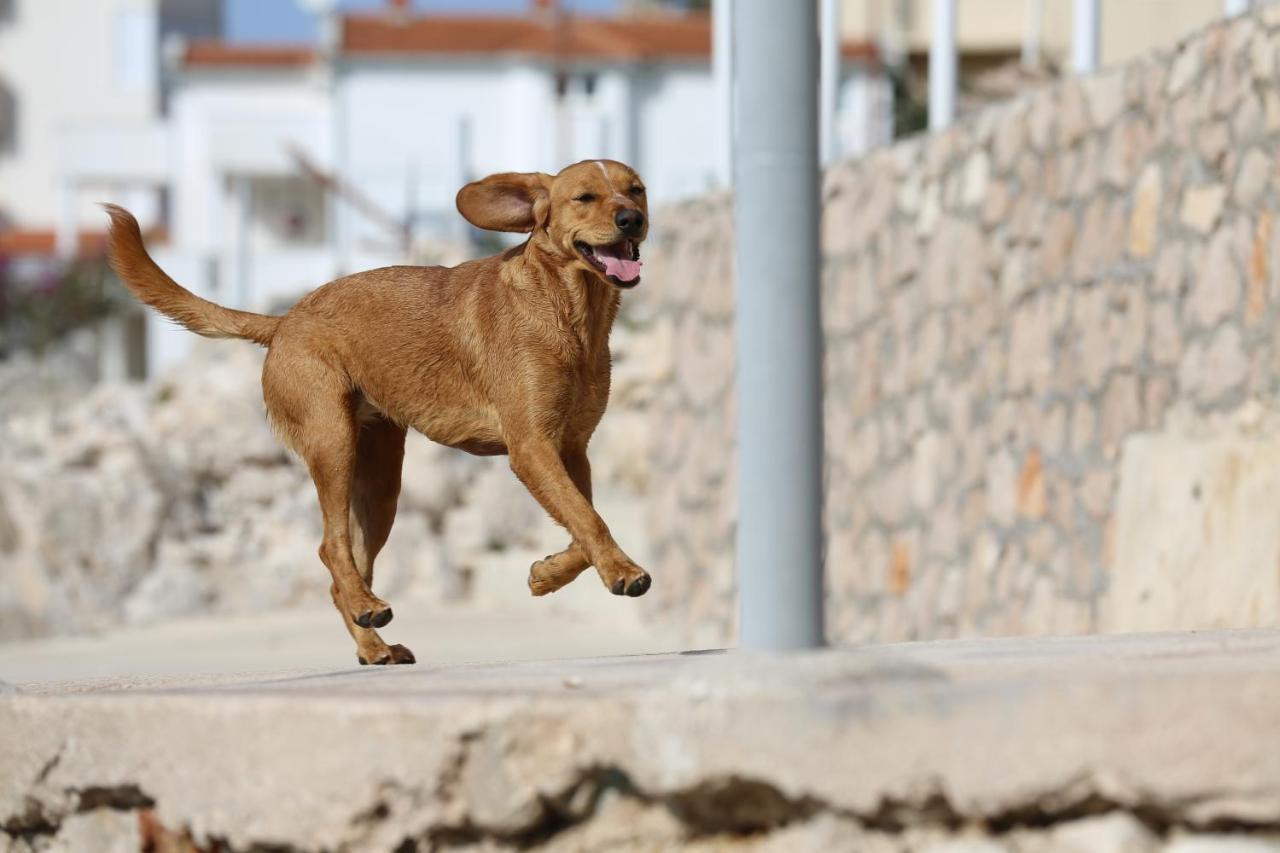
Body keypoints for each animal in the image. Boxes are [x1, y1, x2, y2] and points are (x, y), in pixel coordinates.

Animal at [104, 161, 650, 666]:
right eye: (585, 197)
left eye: (636, 189)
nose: (632, 219)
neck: (571, 311)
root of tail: (284, 322)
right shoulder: (531, 447)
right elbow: (590, 519)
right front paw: (623, 571)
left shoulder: (572, 451)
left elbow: (583, 524)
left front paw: (546, 575)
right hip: (333, 443)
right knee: (330, 547)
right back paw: (368, 611)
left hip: (382, 483)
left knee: (342, 569)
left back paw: (373, 642)